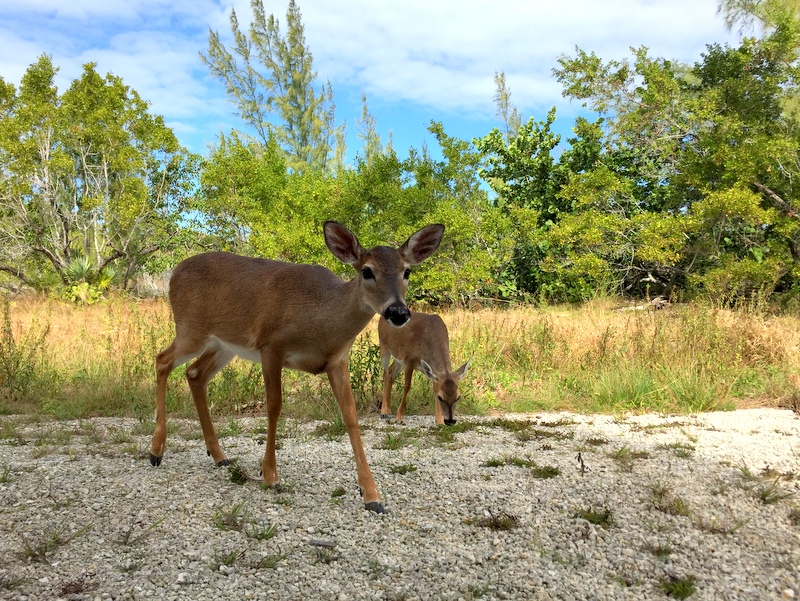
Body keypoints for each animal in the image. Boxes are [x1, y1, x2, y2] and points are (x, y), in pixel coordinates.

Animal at [148, 220, 444, 510]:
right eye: (367, 271)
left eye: (407, 271)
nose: (398, 312)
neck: (321, 318)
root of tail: (174, 272)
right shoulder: (271, 346)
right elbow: (274, 406)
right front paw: (269, 474)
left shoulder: (338, 360)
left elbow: (350, 415)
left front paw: (371, 494)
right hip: (191, 328)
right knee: (163, 360)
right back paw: (156, 450)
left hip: (224, 345)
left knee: (194, 373)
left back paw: (219, 455)